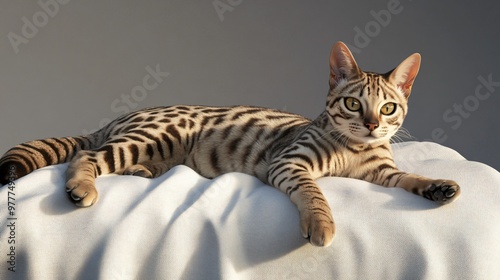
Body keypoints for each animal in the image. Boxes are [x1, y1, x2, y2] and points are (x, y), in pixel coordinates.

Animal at [0, 42, 460, 247]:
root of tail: (113, 120)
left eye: (388, 108)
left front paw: (438, 186)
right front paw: (322, 224)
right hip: (157, 135)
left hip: (156, 148)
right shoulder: (290, 163)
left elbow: (409, 178)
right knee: (86, 154)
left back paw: (138, 172)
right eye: (352, 103)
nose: (371, 124)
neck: (355, 150)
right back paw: (82, 187)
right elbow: (315, 193)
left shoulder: (382, 172)